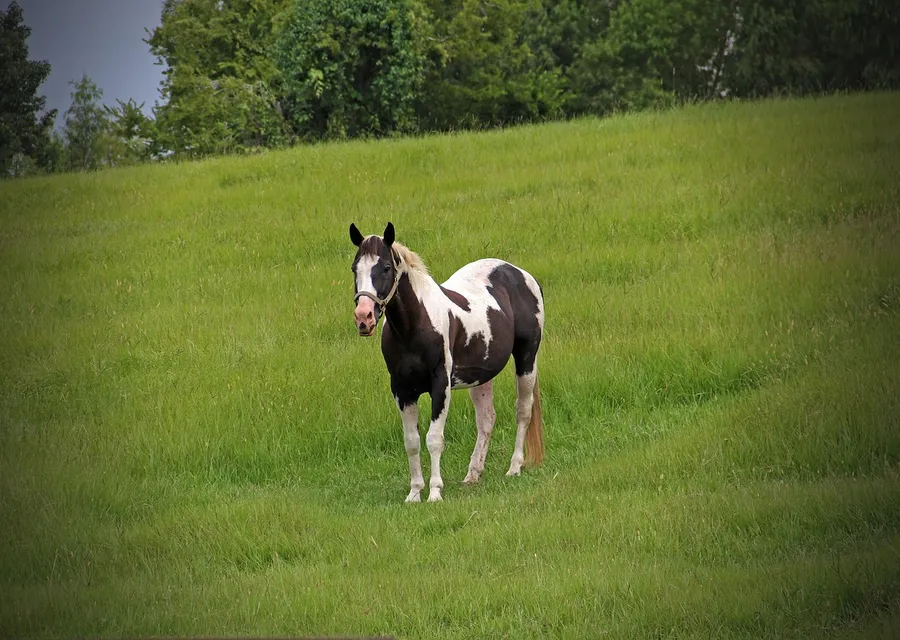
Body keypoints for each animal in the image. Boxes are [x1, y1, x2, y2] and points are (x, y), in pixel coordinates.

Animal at [349, 222, 545, 502]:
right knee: (486, 419)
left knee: (523, 410)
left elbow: (434, 438)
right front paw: (414, 493)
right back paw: (473, 475)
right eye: (355, 268)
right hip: (481, 376)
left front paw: (434, 492)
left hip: (526, 359)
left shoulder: (440, 386)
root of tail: (521, 274)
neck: (415, 327)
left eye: (386, 267)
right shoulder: (401, 390)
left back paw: (514, 467)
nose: (363, 317)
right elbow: (411, 441)